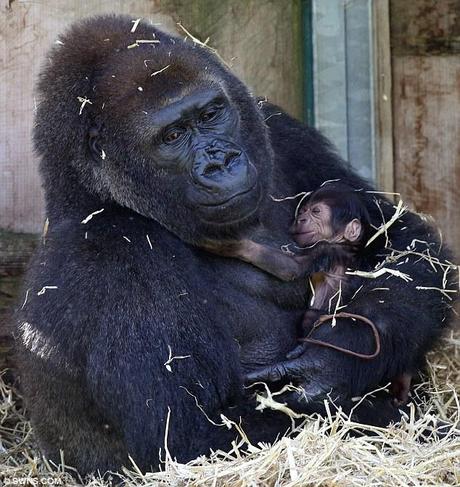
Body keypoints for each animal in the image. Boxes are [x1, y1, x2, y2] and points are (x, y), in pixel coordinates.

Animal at [203, 185, 412, 406]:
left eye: (316, 212)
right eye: (303, 211)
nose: (301, 219)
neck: (344, 244)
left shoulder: (325, 249)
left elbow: (292, 268)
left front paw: (231, 246)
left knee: (309, 317)